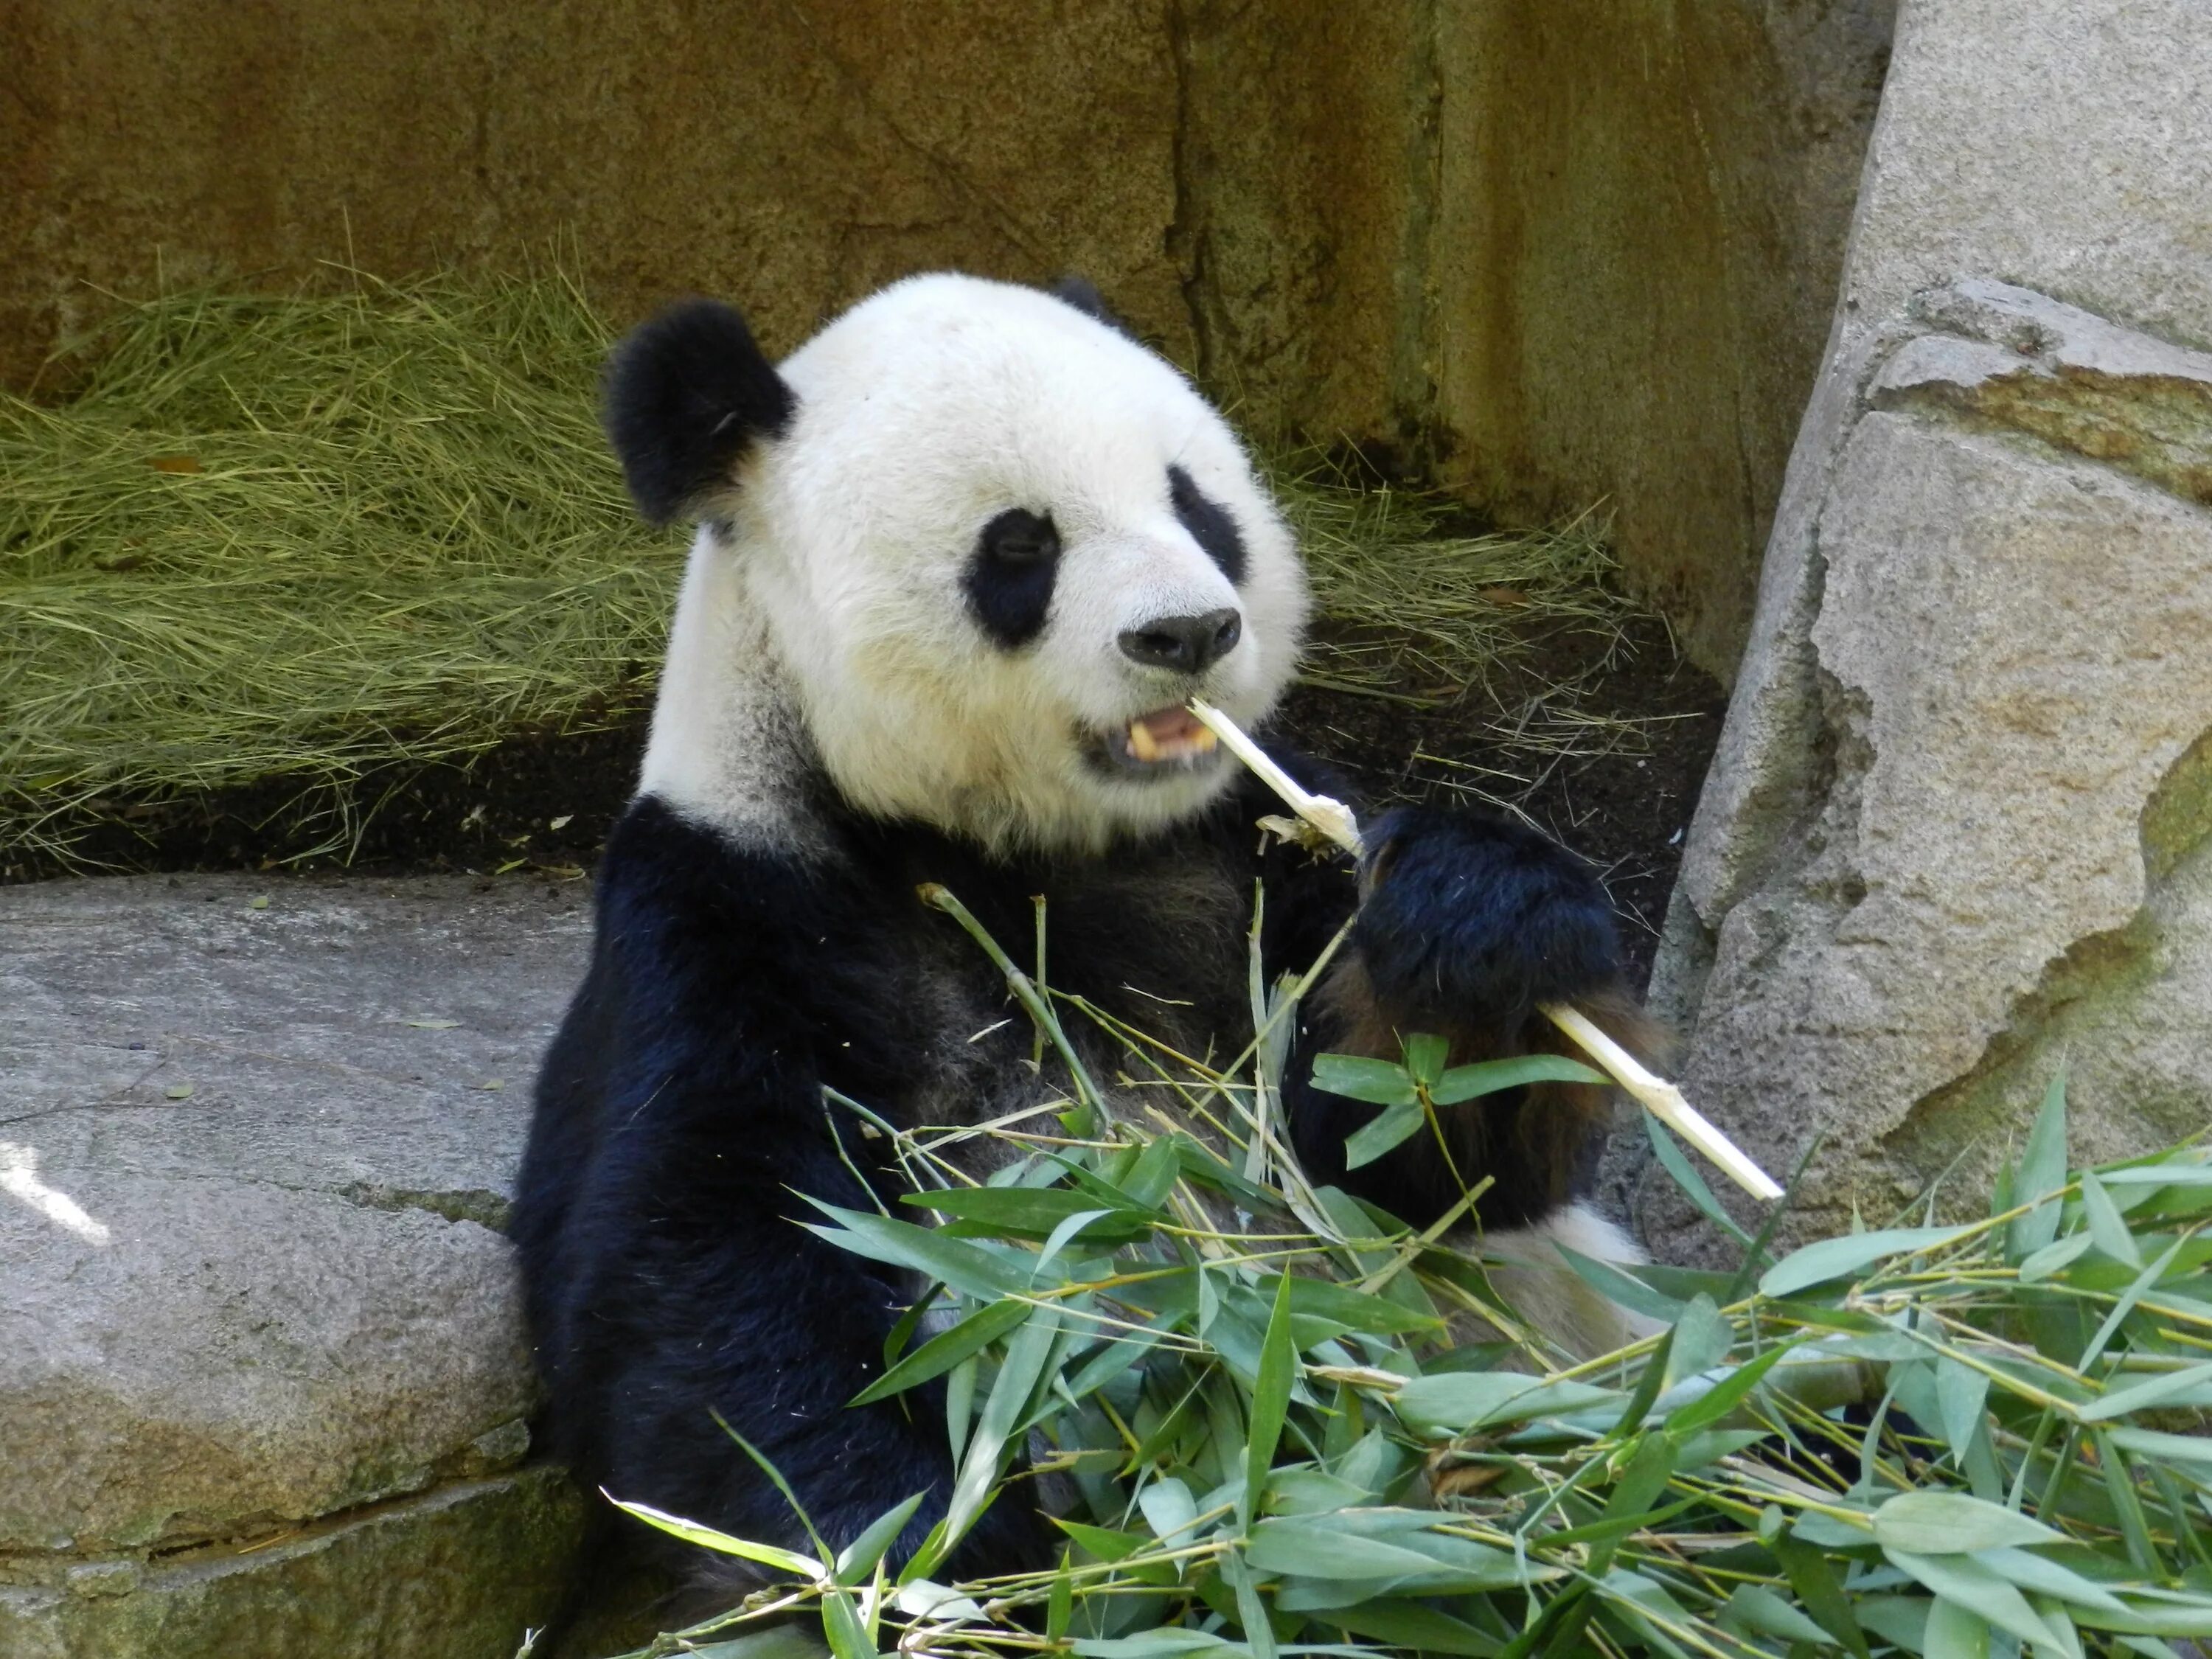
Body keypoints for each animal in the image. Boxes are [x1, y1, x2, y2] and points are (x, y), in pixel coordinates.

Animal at [513, 276, 1663, 1601]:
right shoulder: (733, 909)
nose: (1191, 633)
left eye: (1198, 505)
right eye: (1021, 546)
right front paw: (944, 1562)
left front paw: (1481, 920)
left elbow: (1407, 1165)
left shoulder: (1253, 850)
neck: (1032, 846)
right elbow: (701, 1258)